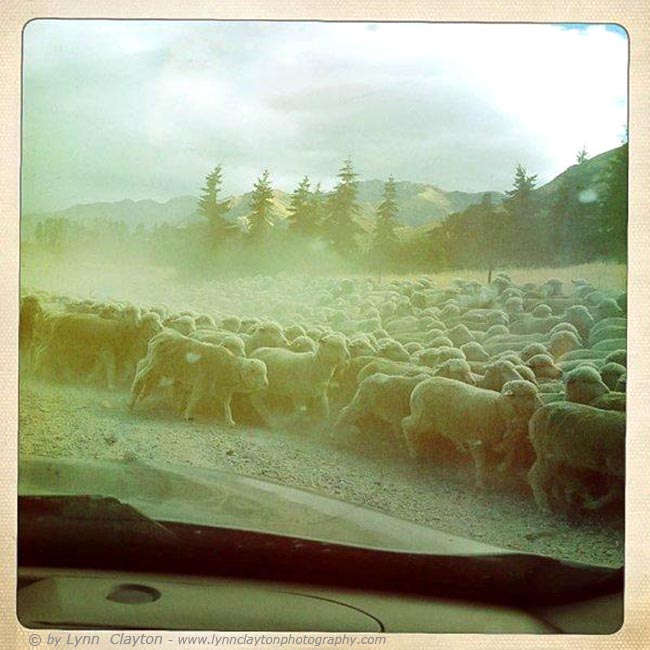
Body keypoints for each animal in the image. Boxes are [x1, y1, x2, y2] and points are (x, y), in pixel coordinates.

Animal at [129, 330, 266, 420]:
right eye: (257, 372)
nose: (266, 383)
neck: (229, 366)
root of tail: (158, 336)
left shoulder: (222, 389)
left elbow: (226, 404)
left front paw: (229, 420)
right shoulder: (203, 381)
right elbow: (196, 397)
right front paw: (188, 414)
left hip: (154, 364)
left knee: (141, 366)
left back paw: (140, 396)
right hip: (155, 365)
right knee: (140, 376)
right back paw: (132, 399)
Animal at [402, 374, 540, 486]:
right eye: (527, 396)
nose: (540, 407)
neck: (499, 407)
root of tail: (420, 384)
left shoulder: (500, 439)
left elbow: (511, 453)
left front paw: (502, 467)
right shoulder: (476, 440)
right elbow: (480, 463)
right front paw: (480, 482)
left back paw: (460, 448)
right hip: (423, 418)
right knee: (406, 424)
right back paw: (413, 452)